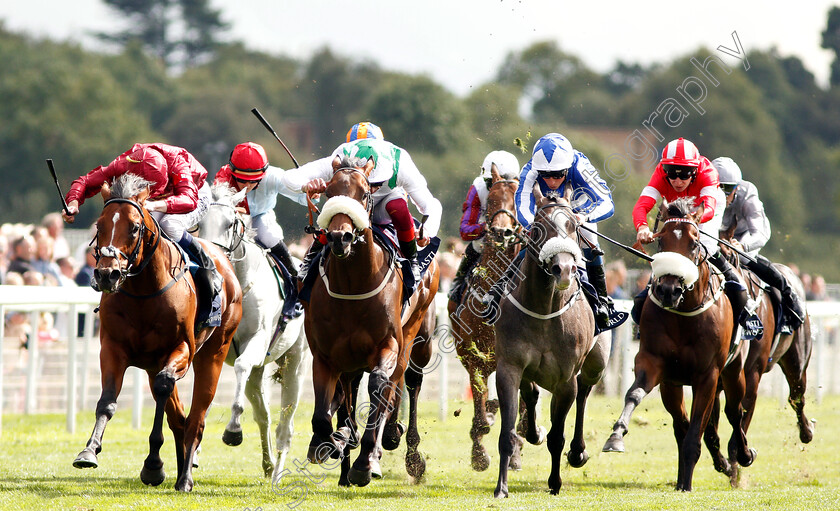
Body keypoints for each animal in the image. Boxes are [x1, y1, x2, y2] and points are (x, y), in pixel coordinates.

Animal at [70, 175, 241, 492]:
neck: (144, 293)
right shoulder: (113, 348)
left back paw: (185, 477)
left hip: (213, 353)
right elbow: (107, 401)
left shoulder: (180, 348)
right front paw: (89, 450)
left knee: (196, 418)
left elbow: (164, 388)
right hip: (154, 363)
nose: (107, 274)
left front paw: (152, 464)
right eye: (99, 225)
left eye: (135, 227)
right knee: (180, 417)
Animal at [199, 184, 310, 484]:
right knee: (264, 416)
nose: (212, 260)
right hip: (259, 373)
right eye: (199, 224)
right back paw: (268, 464)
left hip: (296, 362)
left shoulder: (256, 343)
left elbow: (239, 365)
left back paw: (278, 472)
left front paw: (233, 429)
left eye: (229, 224)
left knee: (286, 424)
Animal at [300, 156, 440, 488]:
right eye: (327, 192)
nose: (340, 237)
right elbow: (324, 415)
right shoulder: (325, 355)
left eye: (364, 194)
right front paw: (334, 442)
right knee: (354, 390)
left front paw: (365, 461)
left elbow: (379, 387)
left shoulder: (387, 344)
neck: (353, 286)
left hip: (417, 338)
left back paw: (401, 450)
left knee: (407, 382)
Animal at [446, 167, 524, 472]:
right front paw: (479, 454)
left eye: (516, 201)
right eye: (490, 201)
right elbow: (479, 398)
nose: (501, 232)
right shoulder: (471, 353)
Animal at [600, 197, 756, 492]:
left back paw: (742, 454)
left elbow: (696, 429)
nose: (669, 289)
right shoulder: (657, 366)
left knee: (734, 411)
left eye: (694, 243)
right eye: (661, 242)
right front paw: (616, 436)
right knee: (691, 423)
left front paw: (688, 481)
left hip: (734, 370)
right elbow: (636, 395)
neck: (684, 313)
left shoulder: (708, 375)